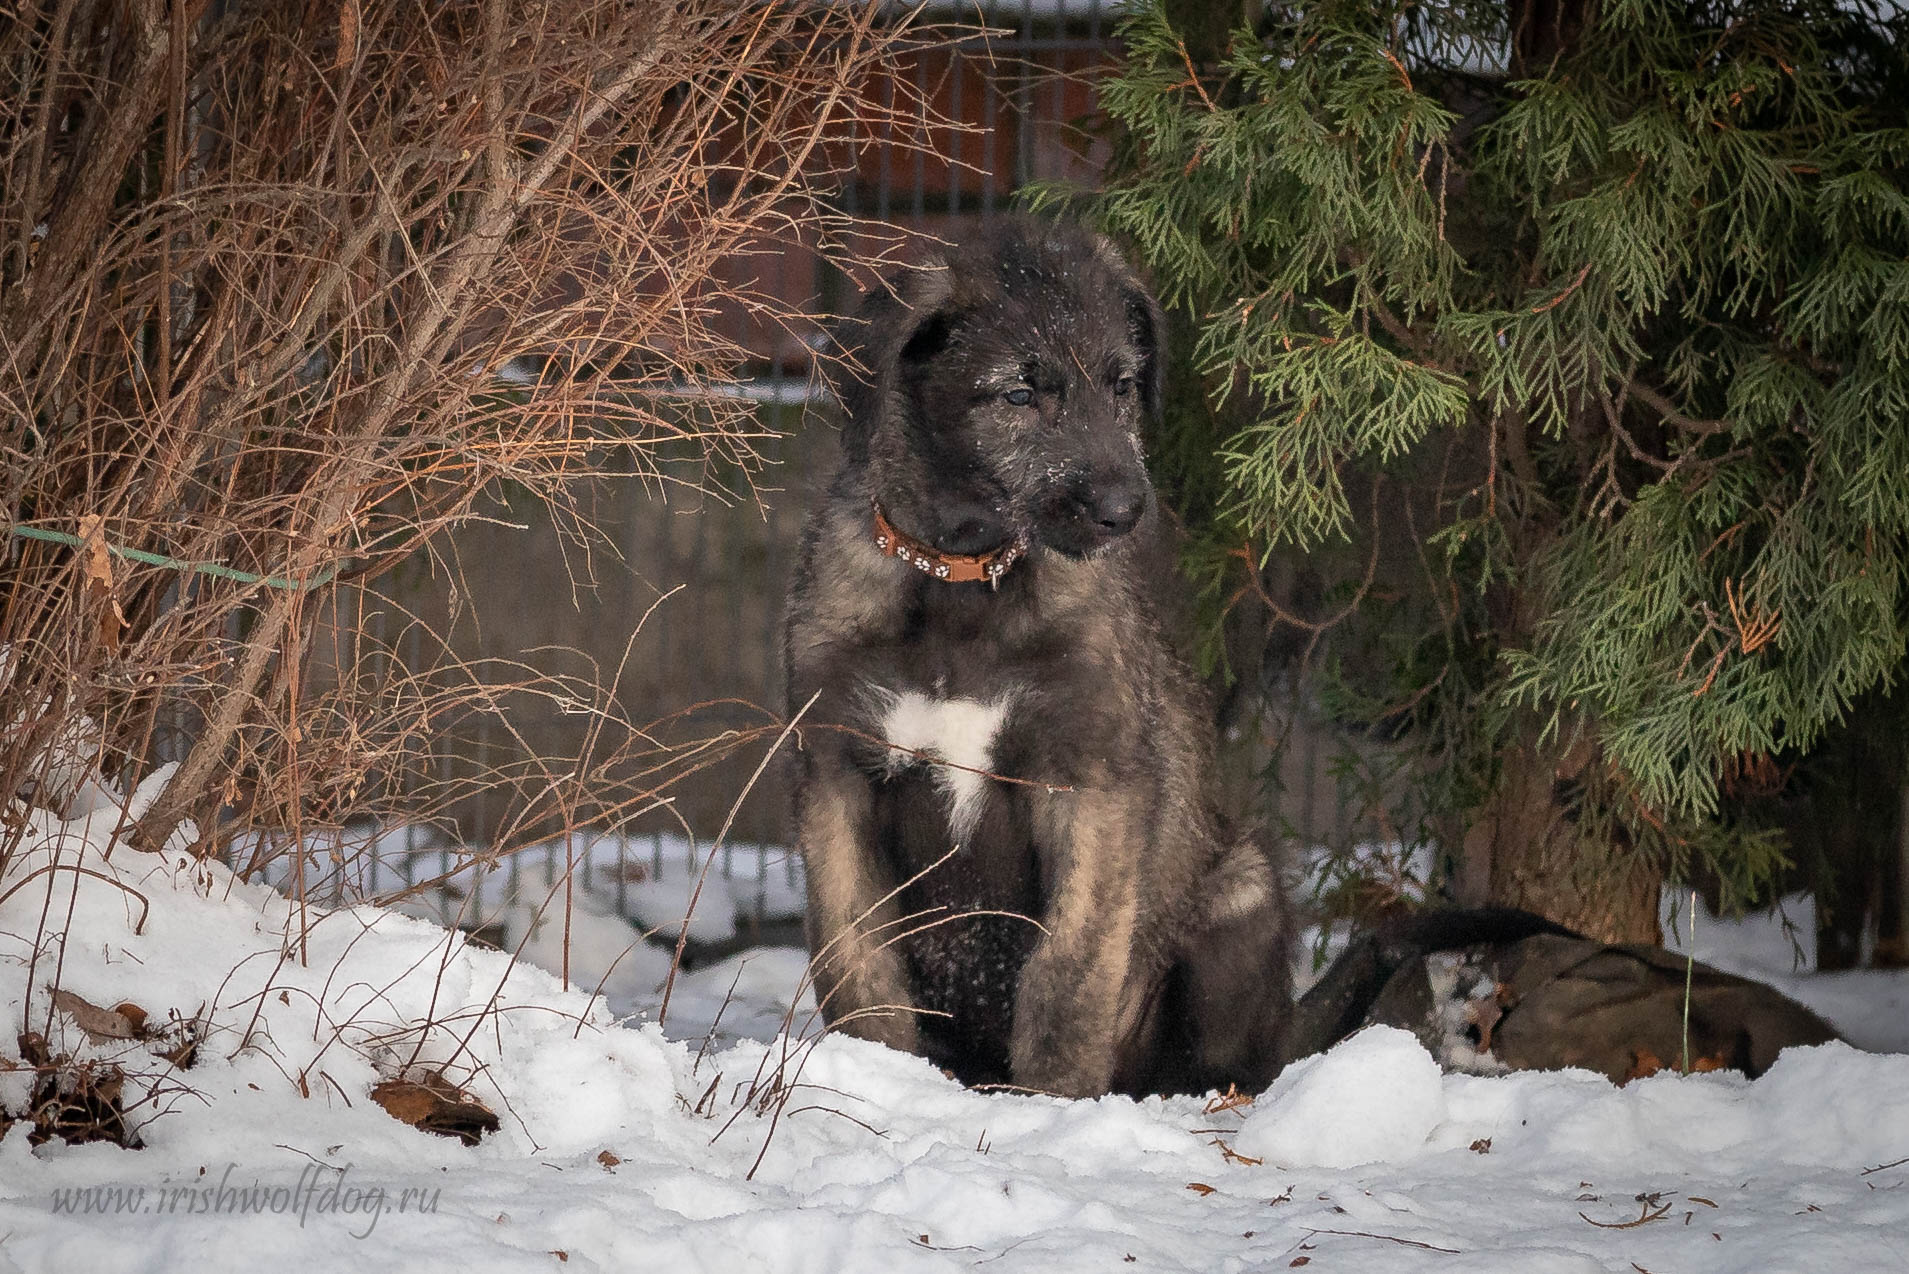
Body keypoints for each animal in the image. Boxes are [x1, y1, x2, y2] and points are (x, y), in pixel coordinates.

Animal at [778, 216, 1298, 1100]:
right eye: (1019, 396)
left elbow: (1070, 968)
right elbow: (856, 960)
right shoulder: (836, 774)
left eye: (1122, 385)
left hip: (1243, 885)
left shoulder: (1089, 782)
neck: (962, 580)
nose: (1126, 512)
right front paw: (875, 1073)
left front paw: (1055, 1098)